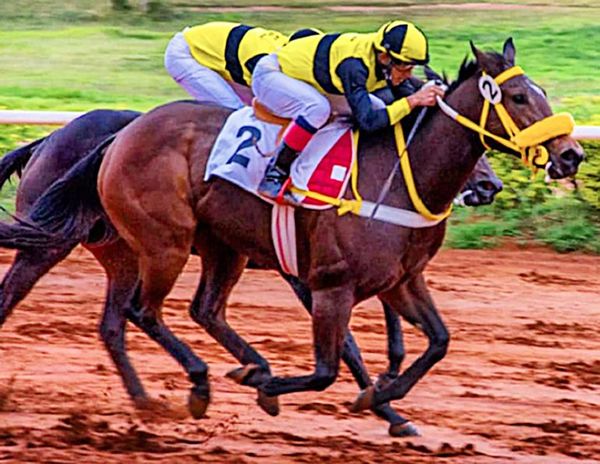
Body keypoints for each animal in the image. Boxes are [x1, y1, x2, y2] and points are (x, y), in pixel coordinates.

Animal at [0, 40, 580, 432]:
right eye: (518, 96)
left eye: (543, 92)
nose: (572, 154)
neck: (395, 172)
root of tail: (117, 136)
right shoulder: (326, 282)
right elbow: (331, 363)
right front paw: (282, 388)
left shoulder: (400, 280)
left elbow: (436, 341)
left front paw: (384, 400)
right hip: (156, 242)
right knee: (138, 311)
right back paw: (204, 382)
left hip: (175, 249)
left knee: (166, 314)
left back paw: (165, 393)